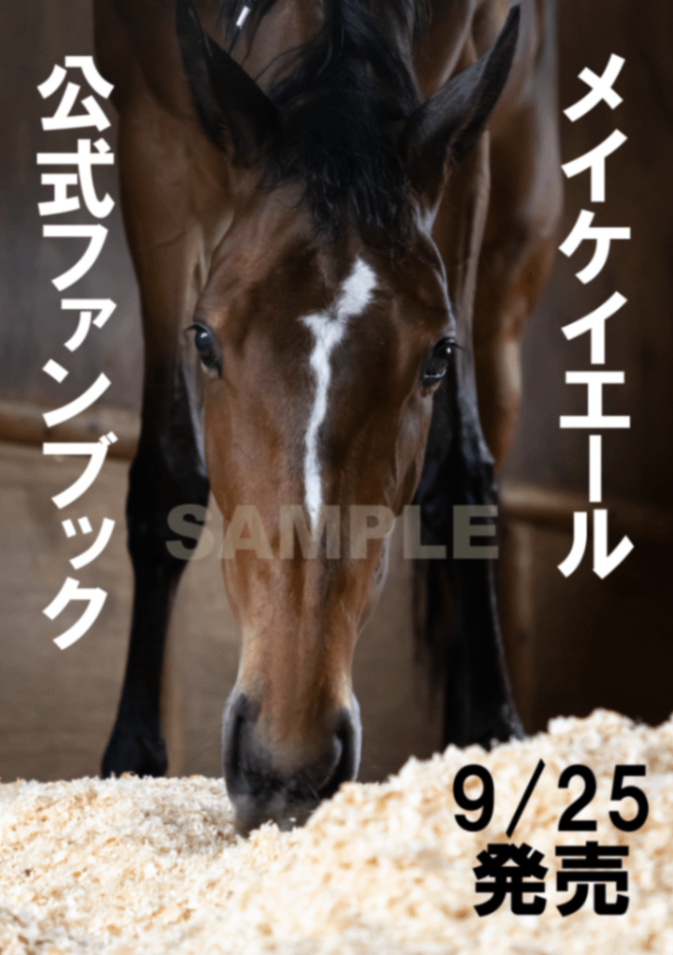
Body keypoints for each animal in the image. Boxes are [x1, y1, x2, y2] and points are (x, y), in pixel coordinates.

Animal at [94, 0, 562, 833]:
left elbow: (460, 476)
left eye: (438, 356)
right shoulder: (153, 144)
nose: (286, 768)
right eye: (204, 340)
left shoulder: (462, 157)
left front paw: (495, 730)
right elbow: (168, 479)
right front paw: (131, 756)